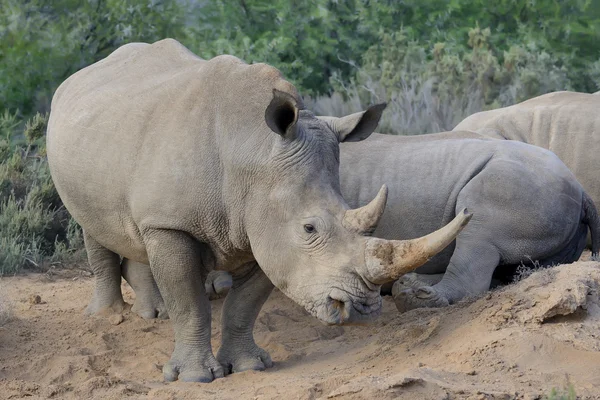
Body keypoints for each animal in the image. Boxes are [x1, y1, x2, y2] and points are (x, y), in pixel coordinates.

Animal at [47, 39, 468, 382]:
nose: (363, 309)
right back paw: (107, 316)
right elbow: (189, 303)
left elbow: (244, 305)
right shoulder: (172, 225)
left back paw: (153, 314)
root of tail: (80, 75)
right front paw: (195, 377)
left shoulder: (265, 228)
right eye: (309, 229)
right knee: (91, 223)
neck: (252, 153)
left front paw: (249, 367)